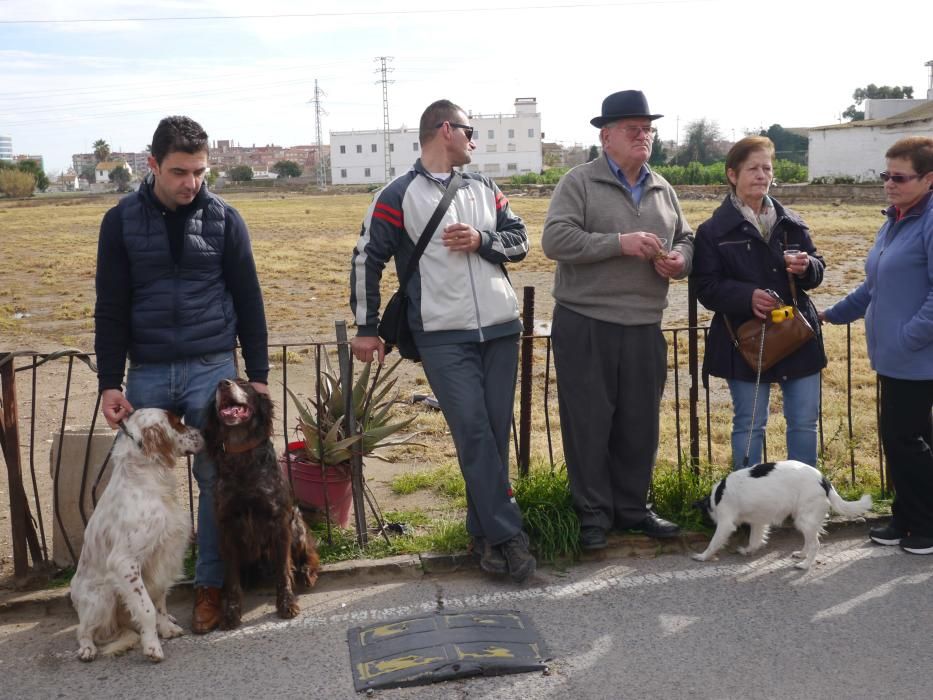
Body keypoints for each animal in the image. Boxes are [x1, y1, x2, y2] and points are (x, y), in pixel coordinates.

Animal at [71, 408, 204, 660]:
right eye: (175, 422)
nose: (203, 433)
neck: (145, 476)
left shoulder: (164, 556)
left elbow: (159, 601)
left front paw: (166, 628)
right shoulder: (125, 562)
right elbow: (147, 608)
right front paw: (152, 646)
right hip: (102, 597)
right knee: (83, 629)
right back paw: (87, 648)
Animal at [204, 378, 320, 628]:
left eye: (244, 384)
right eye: (215, 389)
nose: (223, 383)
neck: (241, 460)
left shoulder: (279, 523)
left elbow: (283, 572)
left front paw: (287, 604)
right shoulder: (226, 527)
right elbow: (232, 580)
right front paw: (231, 613)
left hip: (296, 526)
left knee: (309, 556)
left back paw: (308, 572)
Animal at [688, 460, 872, 568]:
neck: (717, 495)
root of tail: (824, 480)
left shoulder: (726, 524)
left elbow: (713, 543)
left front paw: (703, 556)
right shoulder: (758, 522)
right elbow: (754, 540)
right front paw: (748, 550)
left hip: (805, 520)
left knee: (815, 544)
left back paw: (805, 564)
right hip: (802, 519)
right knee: (809, 541)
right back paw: (801, 554)